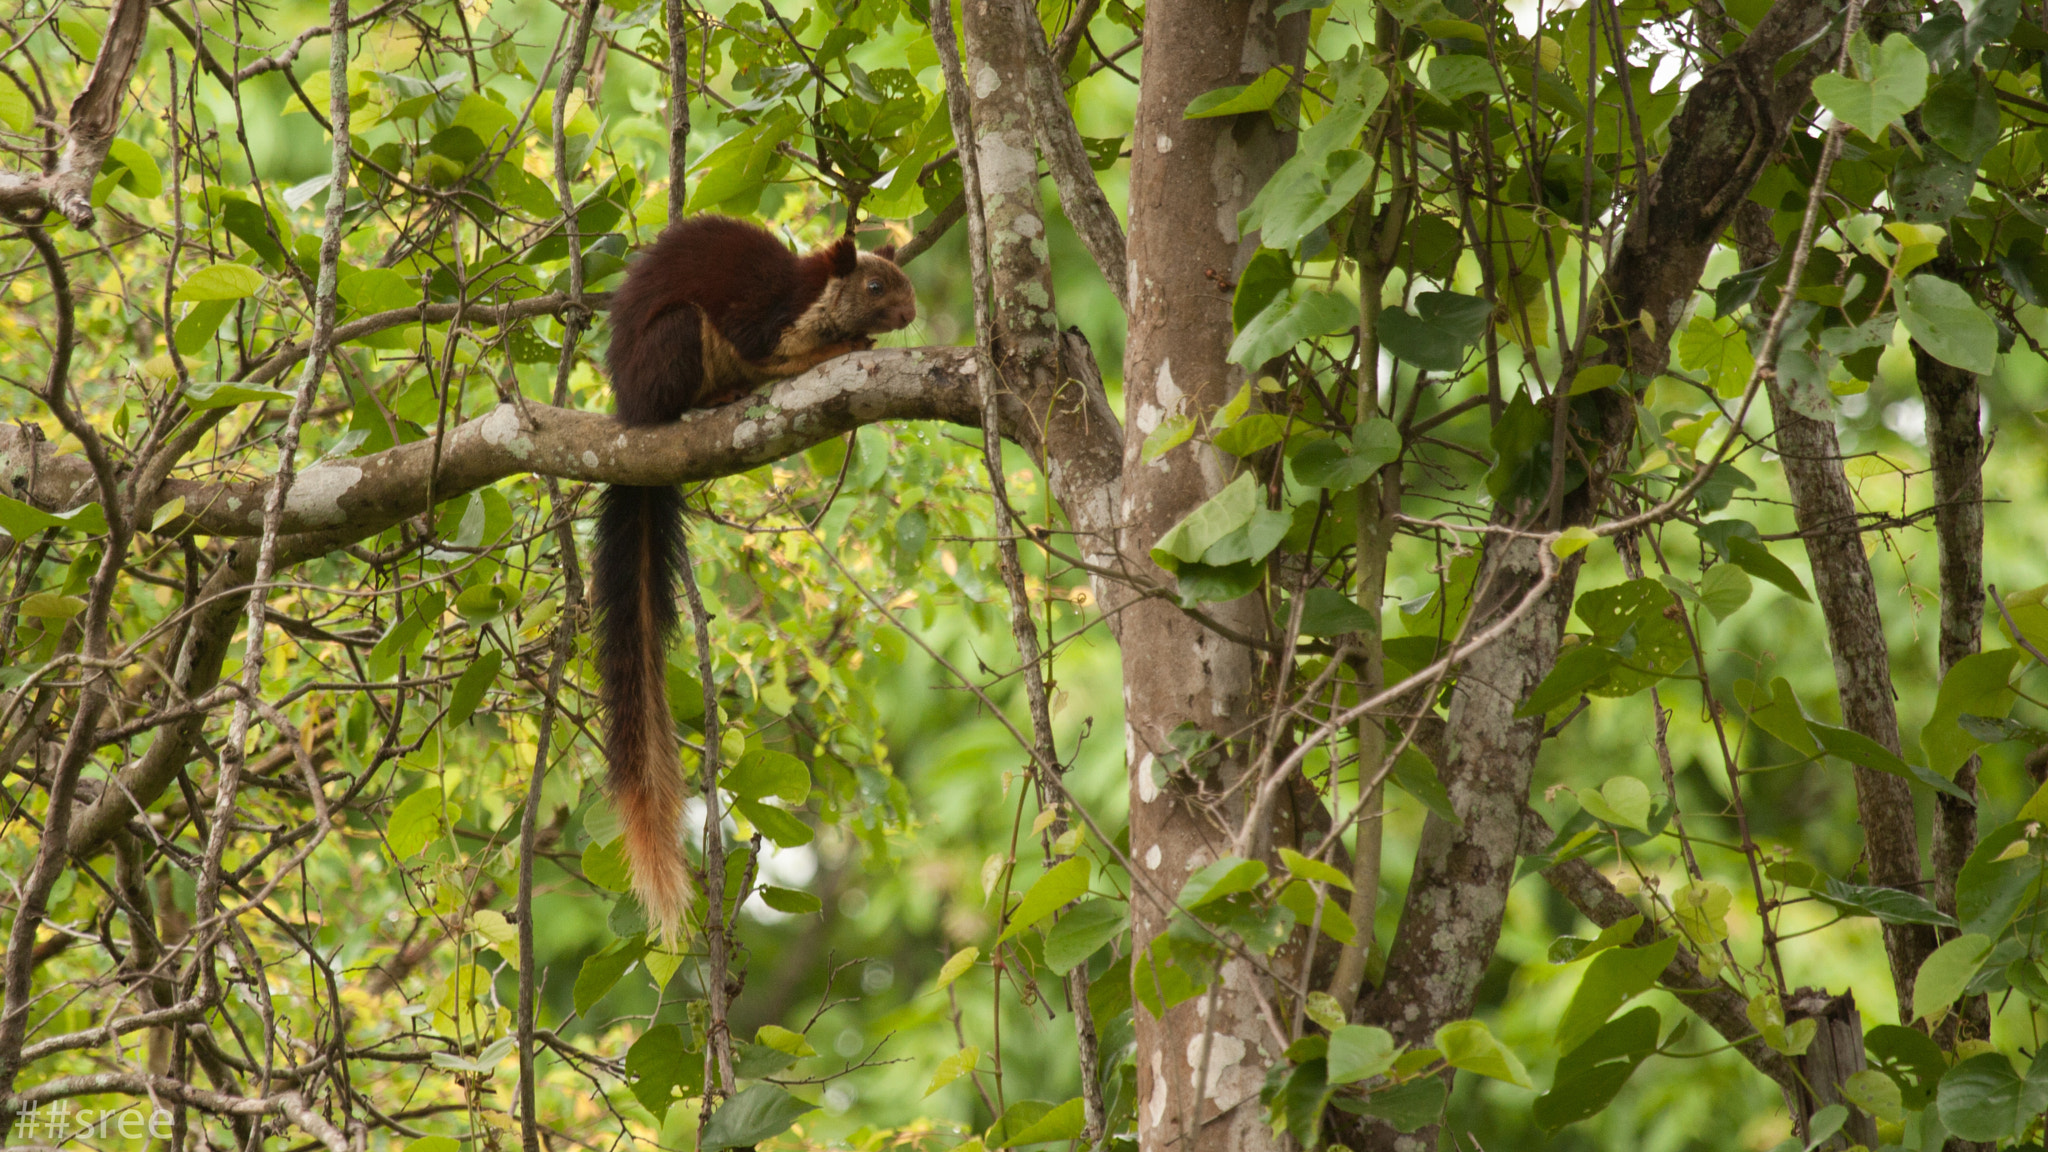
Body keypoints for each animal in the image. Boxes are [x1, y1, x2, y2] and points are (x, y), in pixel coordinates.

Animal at [592, 214, 916, 936]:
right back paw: (716, 394)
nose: (910, 315)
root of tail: (628, 408)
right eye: (875, 286)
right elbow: (783, 354)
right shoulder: (762, 319)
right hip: (677, 340)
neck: (812, 293)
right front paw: (848, 343)